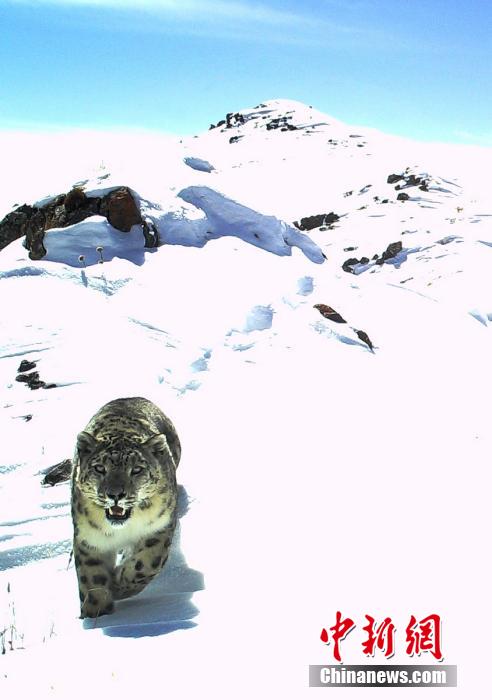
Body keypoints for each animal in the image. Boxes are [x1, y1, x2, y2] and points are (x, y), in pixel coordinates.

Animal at [71, 400, 181, 616]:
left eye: (136, 469)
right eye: (99, 468)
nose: (115, 495)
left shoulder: (160, 527)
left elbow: (146, 563)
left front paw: (119, 584)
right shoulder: (89, 539)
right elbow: (92, 577)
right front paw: (96, 612)